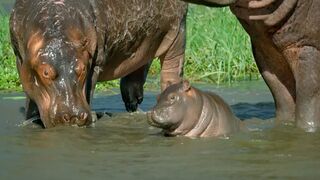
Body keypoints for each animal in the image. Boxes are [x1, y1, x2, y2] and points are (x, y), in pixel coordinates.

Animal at [10, 0, 188, 129]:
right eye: (46, 72)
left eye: (82, 69)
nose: (73, 116)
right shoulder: (20, 59)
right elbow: (30, 93)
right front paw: (30, 118)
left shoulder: (94, 62)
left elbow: (88, 90)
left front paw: (94, 118)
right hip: (145, 41)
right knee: (138, 69)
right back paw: (134, 104)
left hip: (177, 33)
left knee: (171, 71)